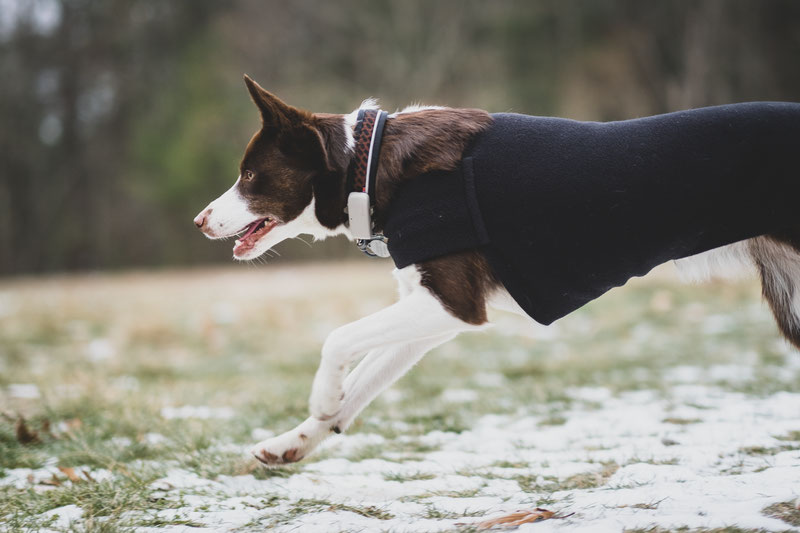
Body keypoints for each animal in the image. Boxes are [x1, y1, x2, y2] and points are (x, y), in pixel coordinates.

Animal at [194, 72, 800, 464]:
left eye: (249, 177)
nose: (199, 221)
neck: (368, 162)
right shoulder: (435, 312)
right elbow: (364, 382)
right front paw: (298, 438)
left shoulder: (454, 303)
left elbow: (338, 339)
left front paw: (321, 399)